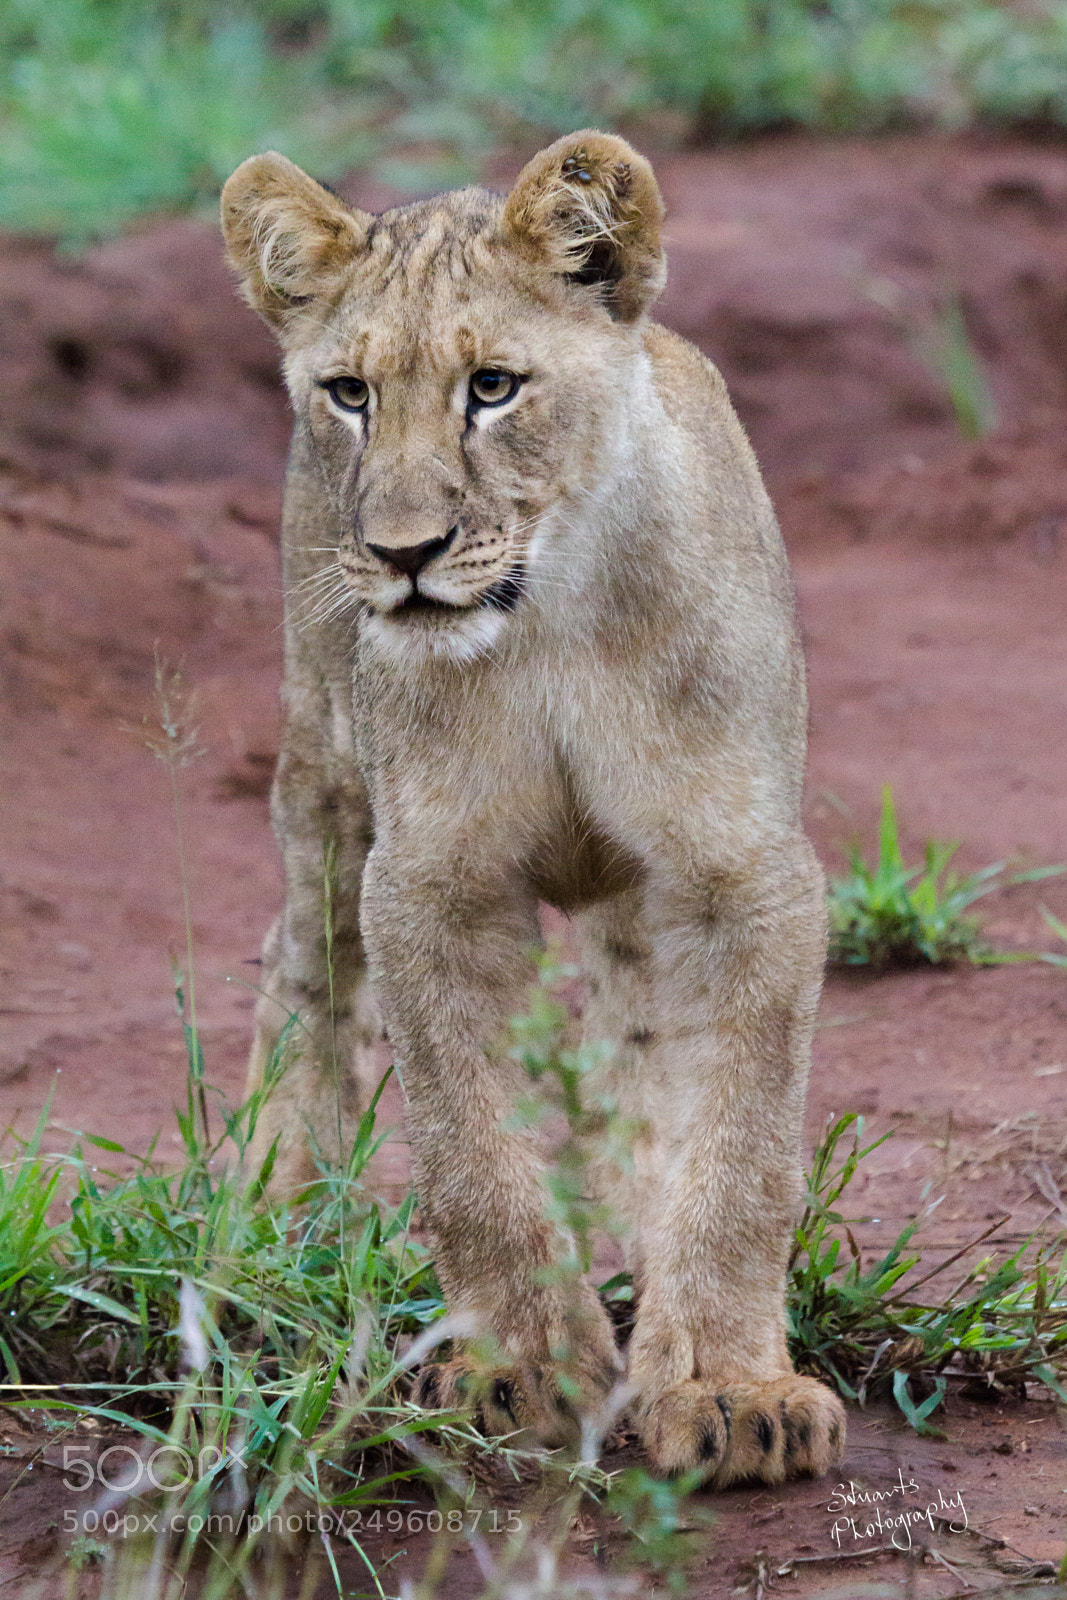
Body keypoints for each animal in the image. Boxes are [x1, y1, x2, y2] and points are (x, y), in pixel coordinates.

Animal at [220, 130, 846, 1484]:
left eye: (494, 387)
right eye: (350, 393)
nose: (403, 553)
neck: (546, 620)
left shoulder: (743, 877)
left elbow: (739, 1155)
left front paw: (726, 1385)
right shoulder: (428, 884)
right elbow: (471, 1155)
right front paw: (519, 1371)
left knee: (636, 1047)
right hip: (322, 768)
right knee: (299, 959)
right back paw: (276, 1207)